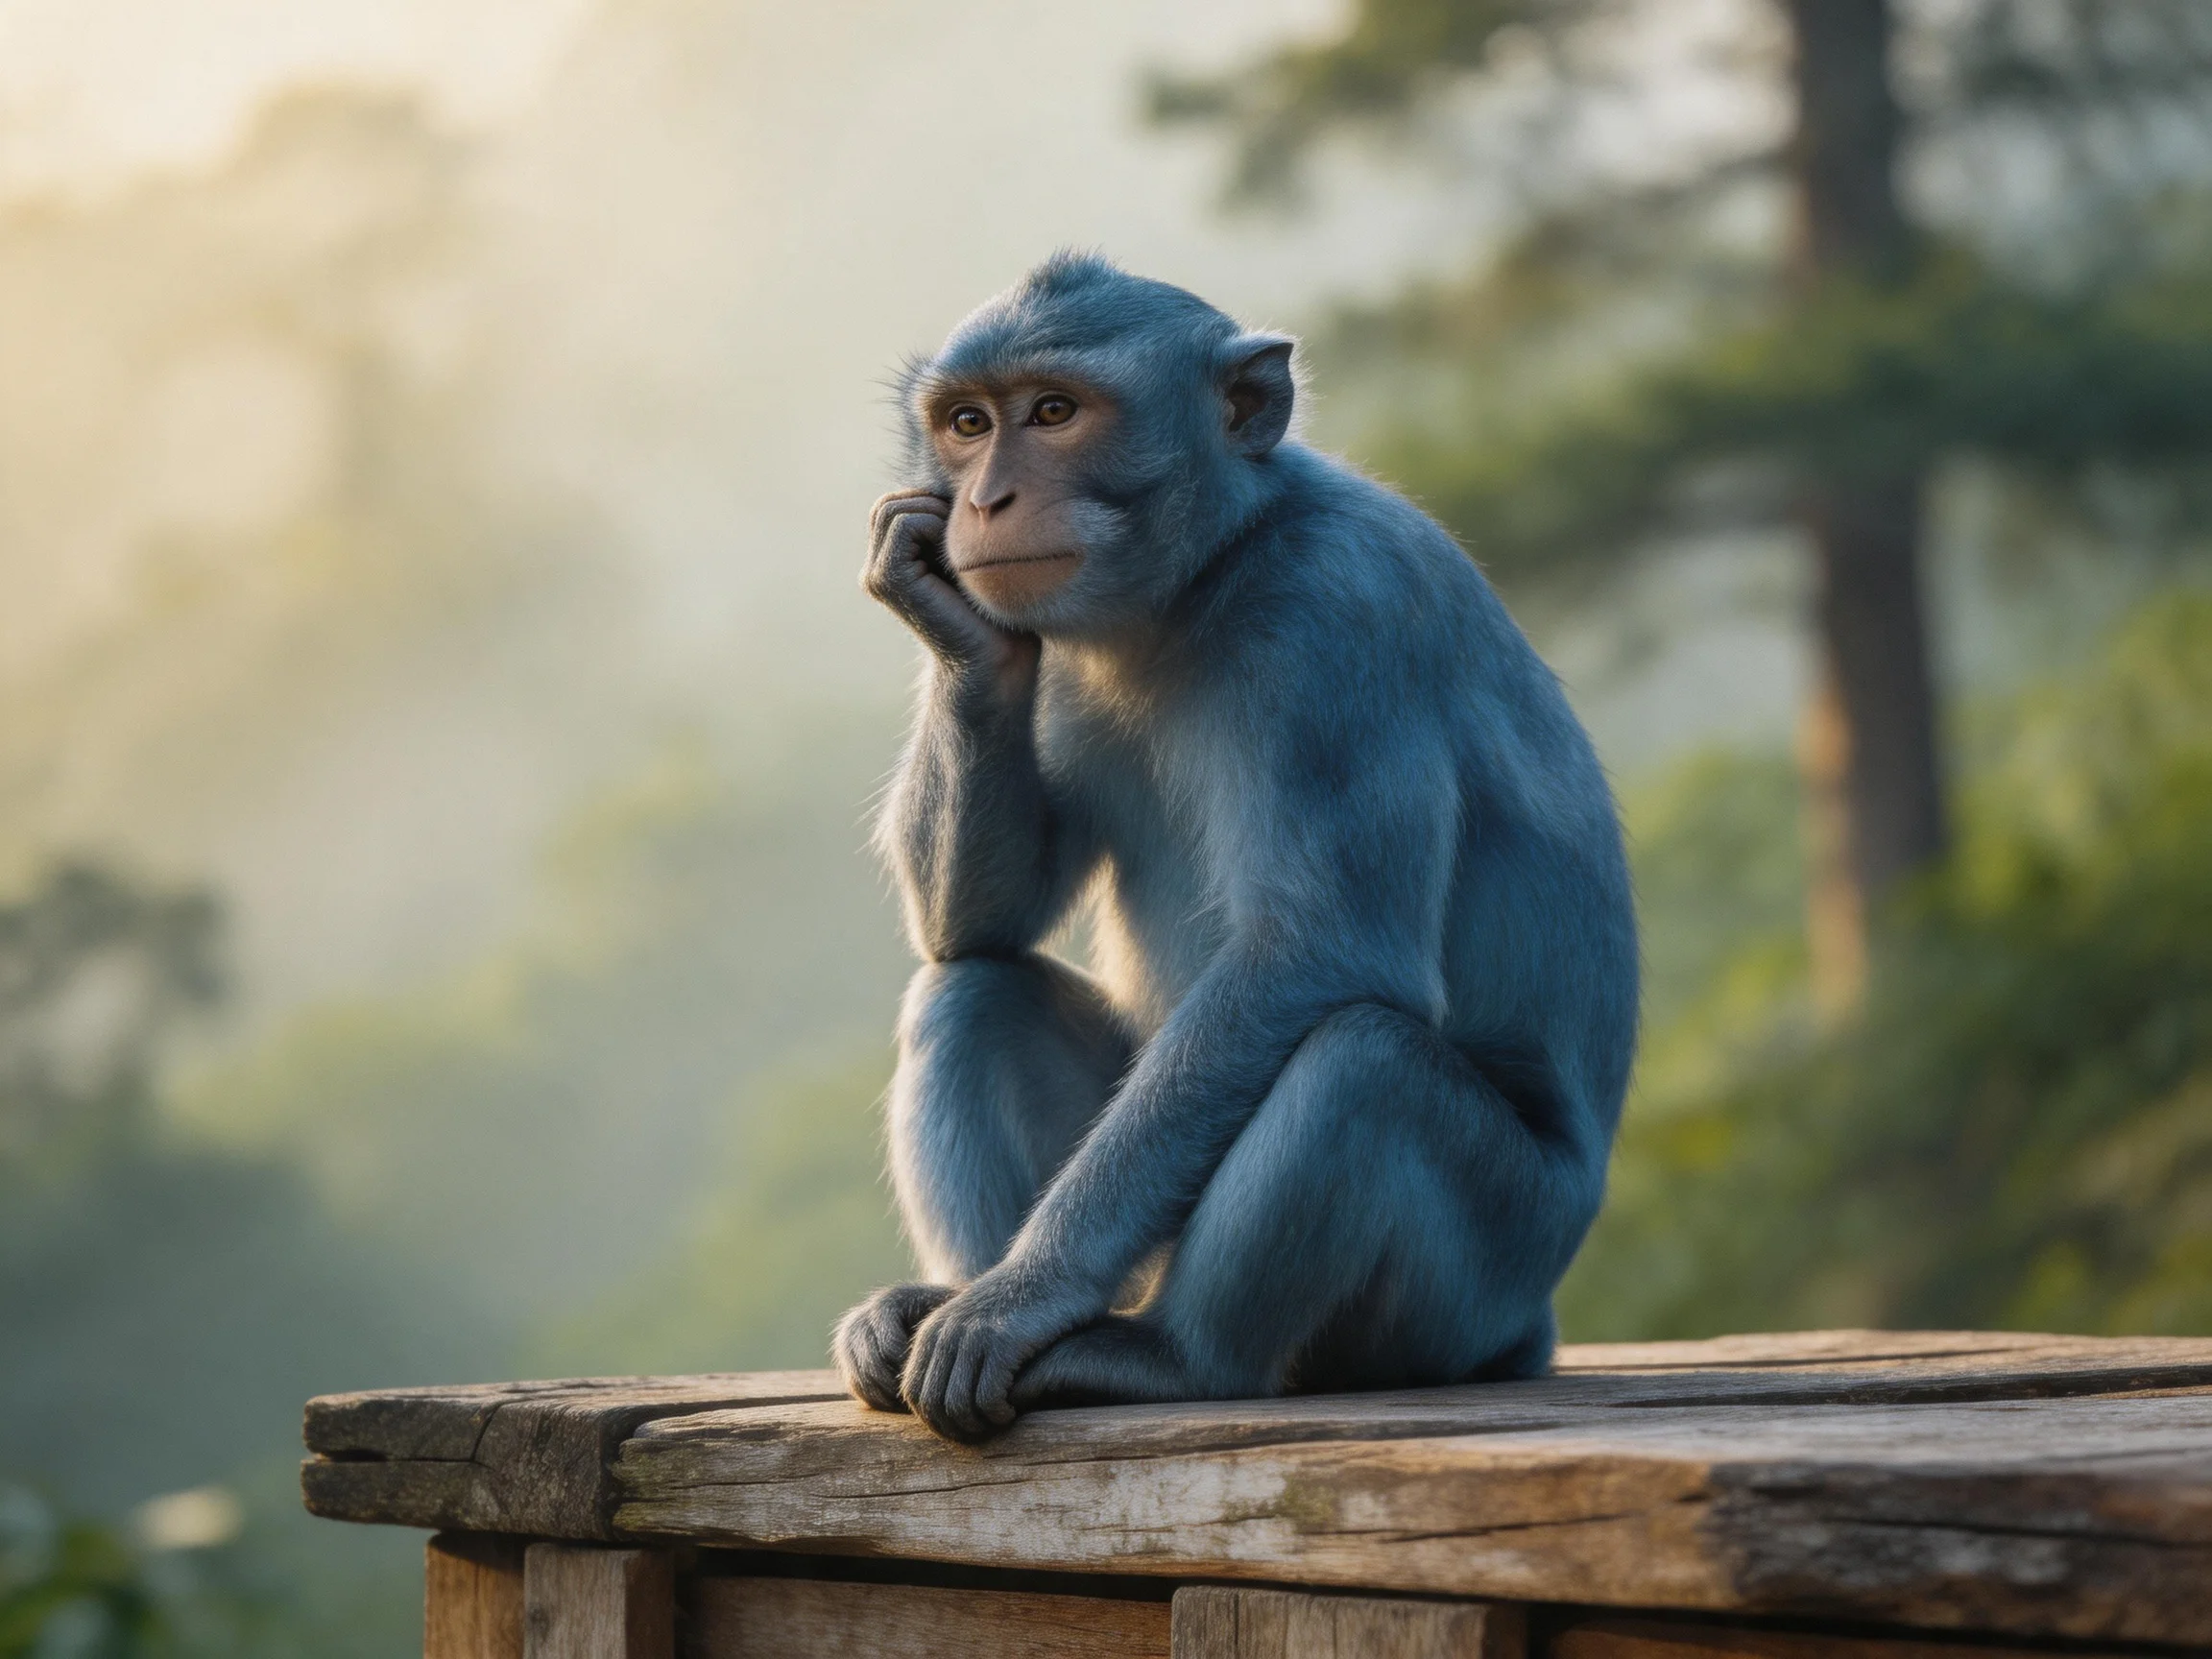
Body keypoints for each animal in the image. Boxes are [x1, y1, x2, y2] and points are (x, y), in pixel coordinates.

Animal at [833, 253, 1638, 1443]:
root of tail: (1526, 1326)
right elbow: (979, 919)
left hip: (1483, 1269)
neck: (1208, 570)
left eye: (1055, 413)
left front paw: (1024, 1294)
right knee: (969, 988)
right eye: (969, 423)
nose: (984, 501)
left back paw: (1170, 1357)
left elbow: (1318, 953)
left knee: (1362, 1060)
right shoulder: (1050, 639)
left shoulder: (1333, 618)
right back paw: (939, 1301)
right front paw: (942, 613)